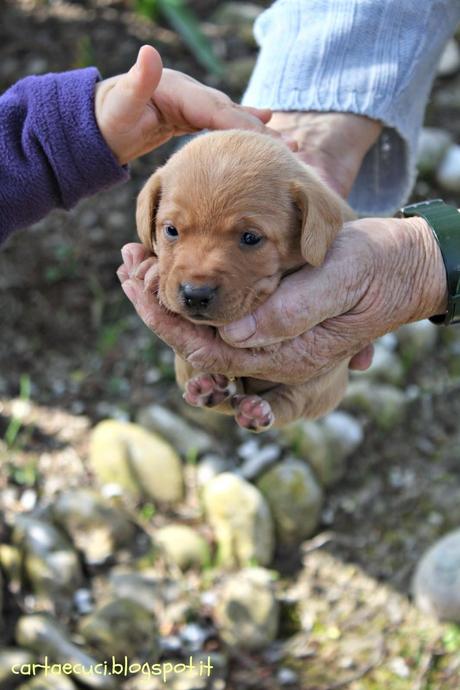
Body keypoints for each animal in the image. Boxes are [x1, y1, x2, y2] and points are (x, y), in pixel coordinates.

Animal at [137, 130, 356, 430]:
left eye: (251, 237)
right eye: (171, 230)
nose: (195, 294)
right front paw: (151, 271)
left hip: (324, 382)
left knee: (290, 404)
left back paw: (256, 410)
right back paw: (209, 389)